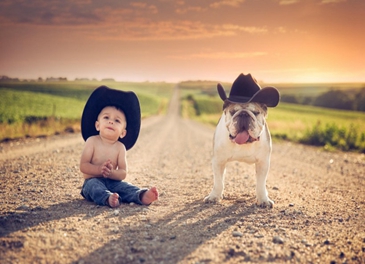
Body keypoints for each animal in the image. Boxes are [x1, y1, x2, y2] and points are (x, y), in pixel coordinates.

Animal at [202, 73, 278, 207]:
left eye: (255, 112)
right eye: (233, 112)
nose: (243, 114)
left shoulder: (263, 163)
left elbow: (261, 184)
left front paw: (263, 199)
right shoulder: (218, 161)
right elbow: (218, 182)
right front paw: (214, 197)